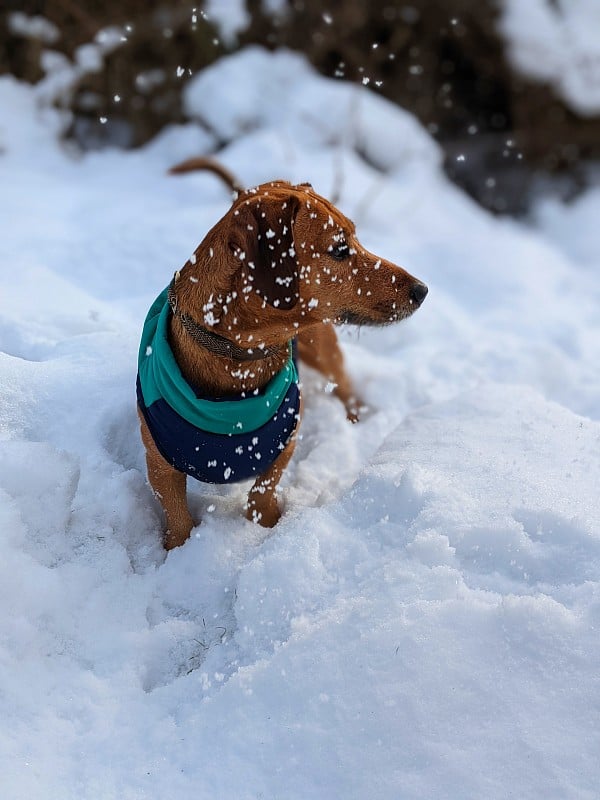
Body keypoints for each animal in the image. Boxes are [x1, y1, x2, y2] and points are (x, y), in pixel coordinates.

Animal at [137, 162, 426, 552]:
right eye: (339, 248)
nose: (422, 291)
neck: (237, 362)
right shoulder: (160, 465)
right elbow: (177, 514)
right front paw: (177, 550)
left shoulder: (283, 445)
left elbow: (262, 492)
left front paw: (265, 528)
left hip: (324, 351)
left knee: (345, 388)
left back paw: (354, 423)